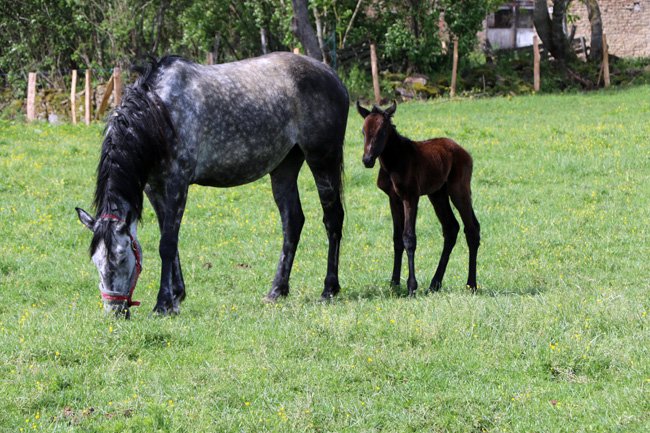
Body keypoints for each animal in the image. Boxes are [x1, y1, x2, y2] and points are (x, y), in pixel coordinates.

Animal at [76, 53, 349, 316]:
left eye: (122, 258)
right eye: (96, 261)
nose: (115, 312)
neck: (158, 113)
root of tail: (332, 76)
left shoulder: (177, 183)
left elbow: (167, 244)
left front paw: (163, 304)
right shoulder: (154, 188)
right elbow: (169, 239)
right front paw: (177, 296)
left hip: (323, 160)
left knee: (332, 219)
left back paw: (329, 289)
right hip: (285, 167)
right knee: (292, 222)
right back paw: (277, 291)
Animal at [356, 101, 480, 296]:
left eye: (382, 132)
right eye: (363, 132)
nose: (367, 160)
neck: (394, 161)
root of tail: (463, 151)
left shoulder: (410, 197)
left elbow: (409, 238)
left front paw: (411, 286)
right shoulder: (393, 199)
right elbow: (397, 238)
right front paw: (394, 283)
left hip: (458, 190)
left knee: (472, 229)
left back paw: (471, 284)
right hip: (437, 194)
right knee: (451, 228)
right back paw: (435, 283)